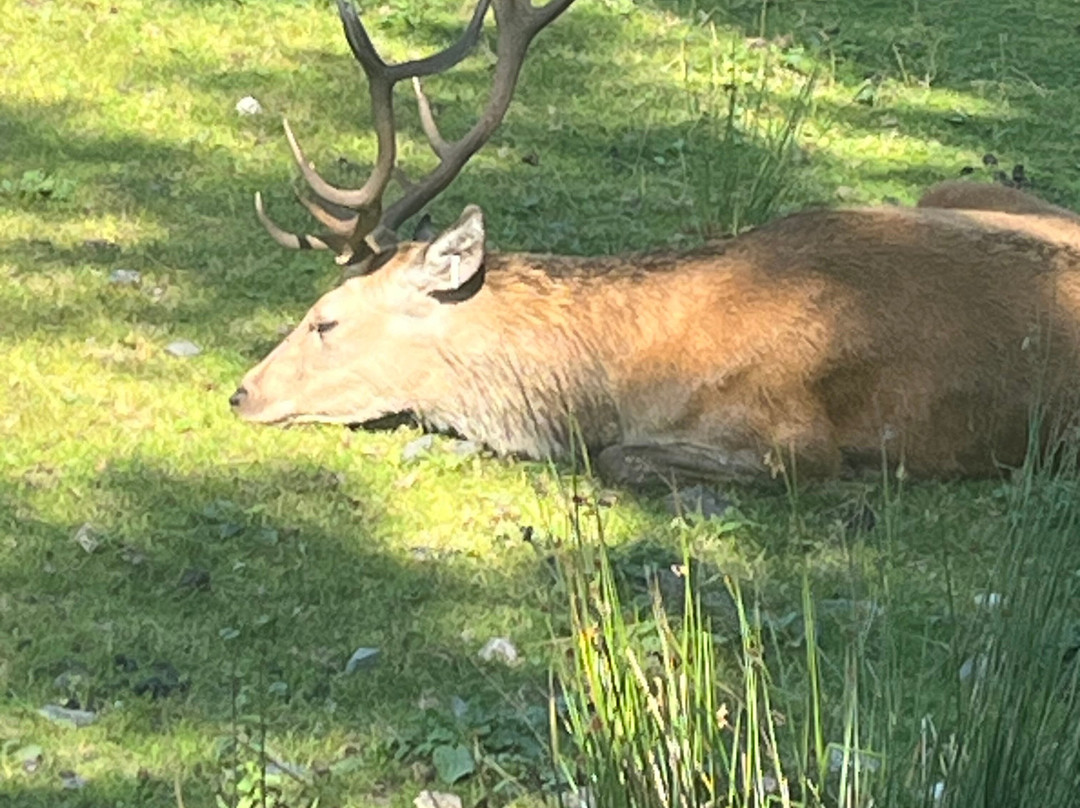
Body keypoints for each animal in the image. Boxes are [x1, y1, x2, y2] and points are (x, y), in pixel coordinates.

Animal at [230, 0, 1080, 488]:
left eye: (326, 319)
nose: (241, 393)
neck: (629, 376)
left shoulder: (796, 439)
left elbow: (618, 459)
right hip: (954, 190)